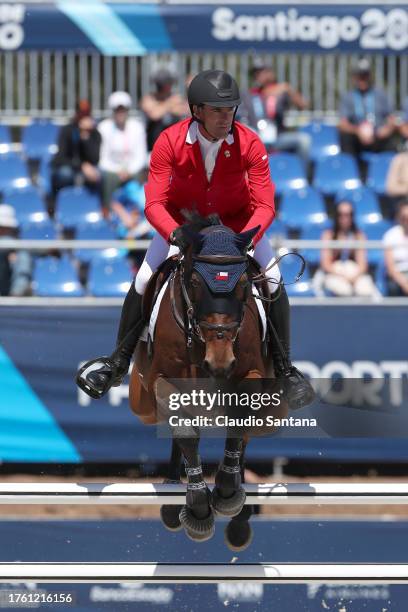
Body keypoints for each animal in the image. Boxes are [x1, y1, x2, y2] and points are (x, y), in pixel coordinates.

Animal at [129, 214, 288, 544]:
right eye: (194, 282)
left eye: (243, 284)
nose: (220, 361)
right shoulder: (162, 382)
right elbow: (186, 435)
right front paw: (199, 507)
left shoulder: (251, 377)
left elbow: (239, 423)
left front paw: (227, 492)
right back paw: (172, 497)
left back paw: (239, 516)